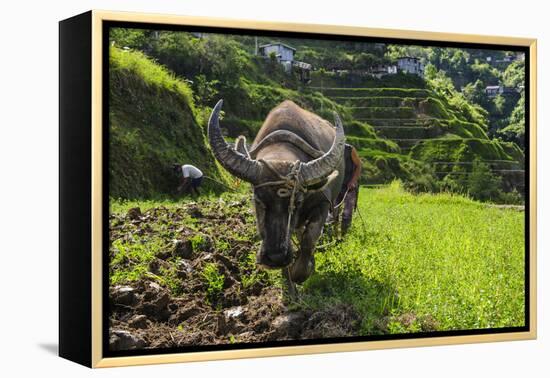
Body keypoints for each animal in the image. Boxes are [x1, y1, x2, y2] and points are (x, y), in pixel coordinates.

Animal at [207, 99, 344, 292]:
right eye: (258, 199)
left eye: (298, 202)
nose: (276, 257)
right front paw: (288, 279)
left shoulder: (323, 204)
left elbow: (309, 239)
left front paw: (302, 270)